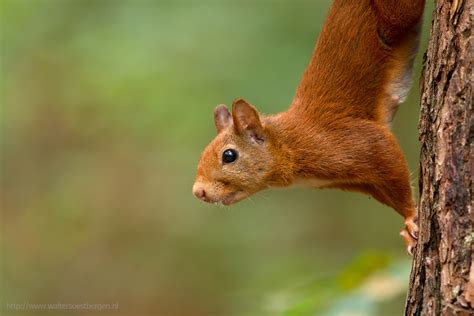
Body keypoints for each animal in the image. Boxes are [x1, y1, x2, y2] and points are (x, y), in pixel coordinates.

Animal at [193, 0, 426, 253]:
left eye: (229, 156)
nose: (198, 192)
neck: (290, 145)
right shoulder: (357, 182)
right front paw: (406, 230)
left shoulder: (358, 143)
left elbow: (390, 159)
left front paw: (411, 216)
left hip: (395, 17)